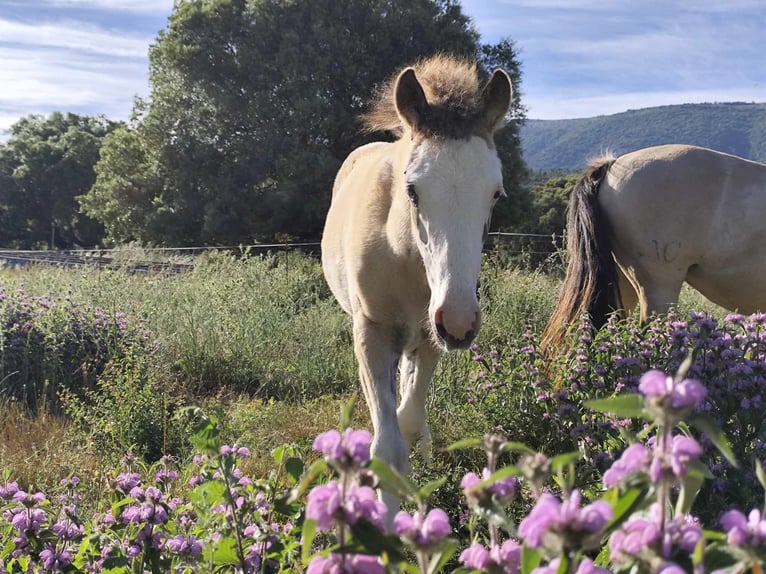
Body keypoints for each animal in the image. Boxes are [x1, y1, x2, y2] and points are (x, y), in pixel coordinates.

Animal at [320, 55, 512, 512]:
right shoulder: (371, 332)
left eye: (495, 194)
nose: (460, 322)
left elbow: (406, 421)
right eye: (412, 191)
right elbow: (387, 447)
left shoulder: (431, 334)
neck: (404, 256)